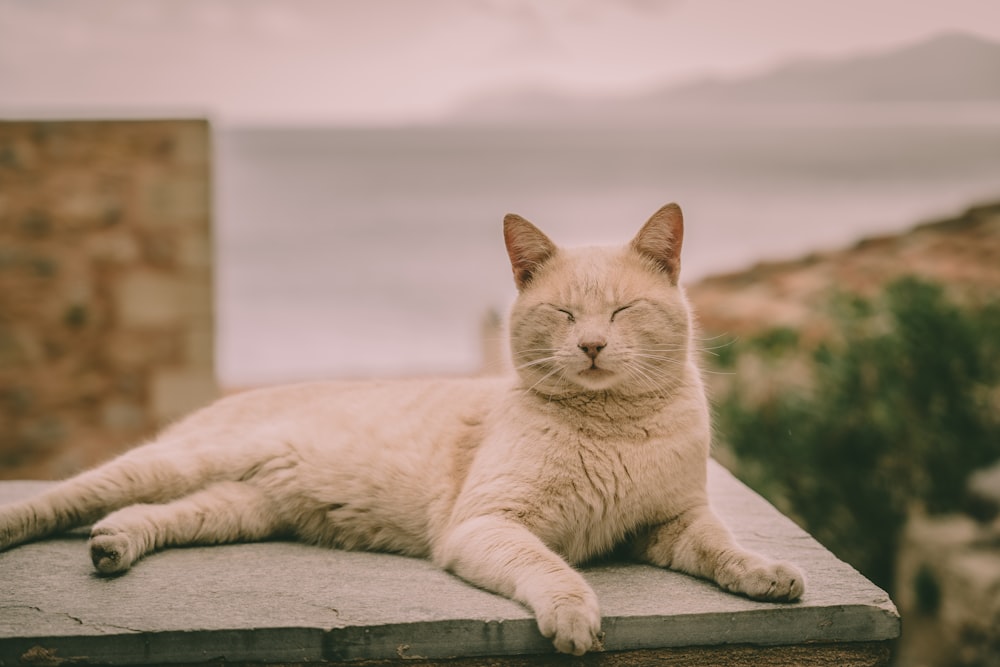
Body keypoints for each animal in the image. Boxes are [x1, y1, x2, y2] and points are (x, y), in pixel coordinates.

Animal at [0, 205, 800, 656]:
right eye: (566, 313)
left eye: (625, 310)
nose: (594, 345)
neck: (616, 430)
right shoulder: (488, 524)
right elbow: (552, 571)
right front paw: (576, 617)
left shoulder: (673, 521)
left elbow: (724, 550)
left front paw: (769, 576)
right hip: (176, 463)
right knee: (67, 498)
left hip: (237, 508)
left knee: (146, 516)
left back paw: (113, 547)